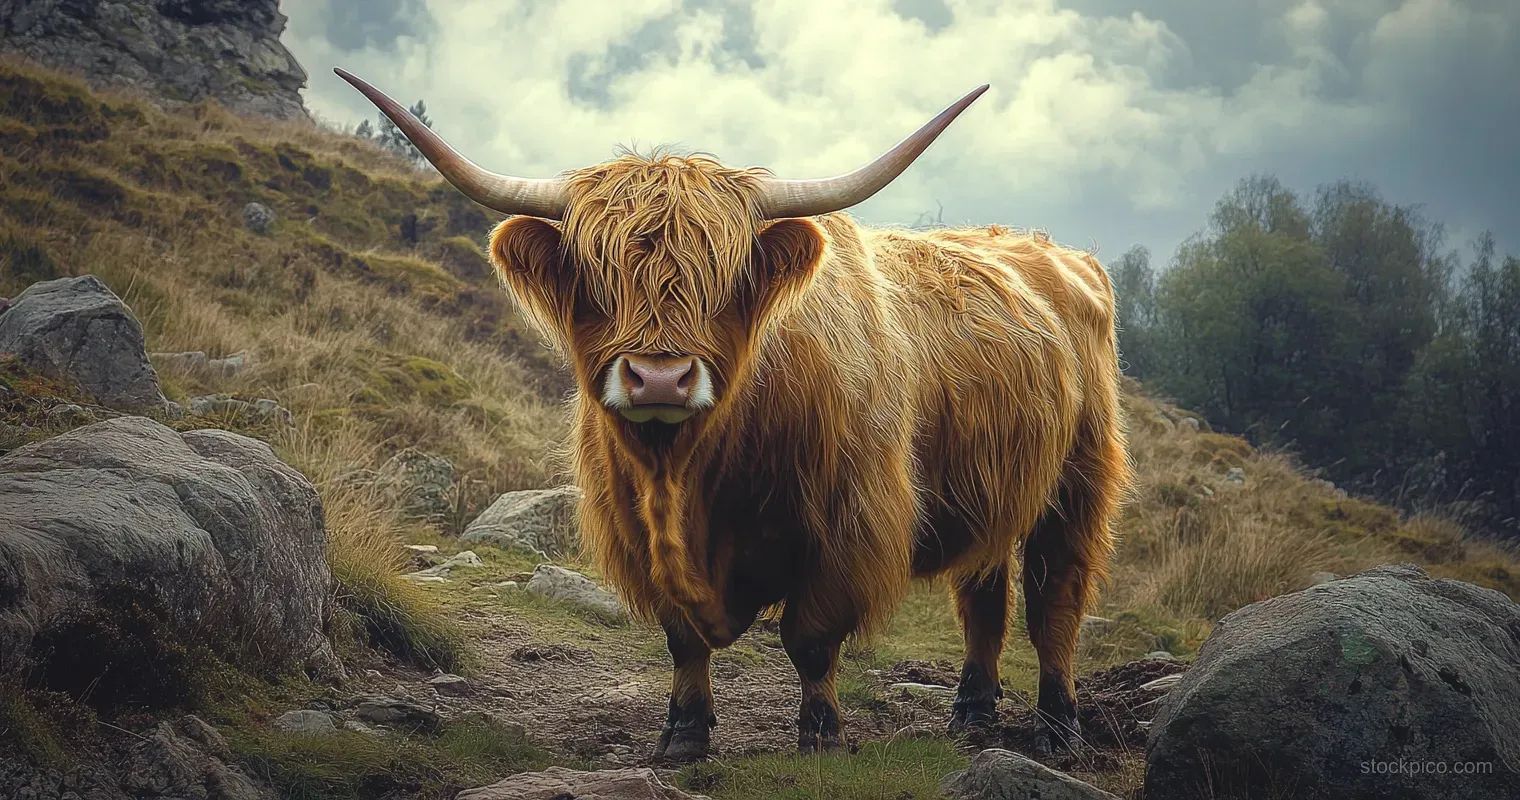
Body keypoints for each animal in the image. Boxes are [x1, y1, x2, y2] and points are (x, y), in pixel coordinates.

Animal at [338, 68, 1131, 761]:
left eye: (723, 278)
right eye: (598, 275)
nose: (660, 377)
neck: (691, 477)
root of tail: (1057, 254)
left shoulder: (847, 525)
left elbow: (810, 639)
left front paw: (821, 738)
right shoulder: (637, 531)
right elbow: (683, 639)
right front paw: (683, 736)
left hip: (1079, 478)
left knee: (1054, 602)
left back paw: (1059, 729)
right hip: (996, 489)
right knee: (984, 596)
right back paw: (970, 714)